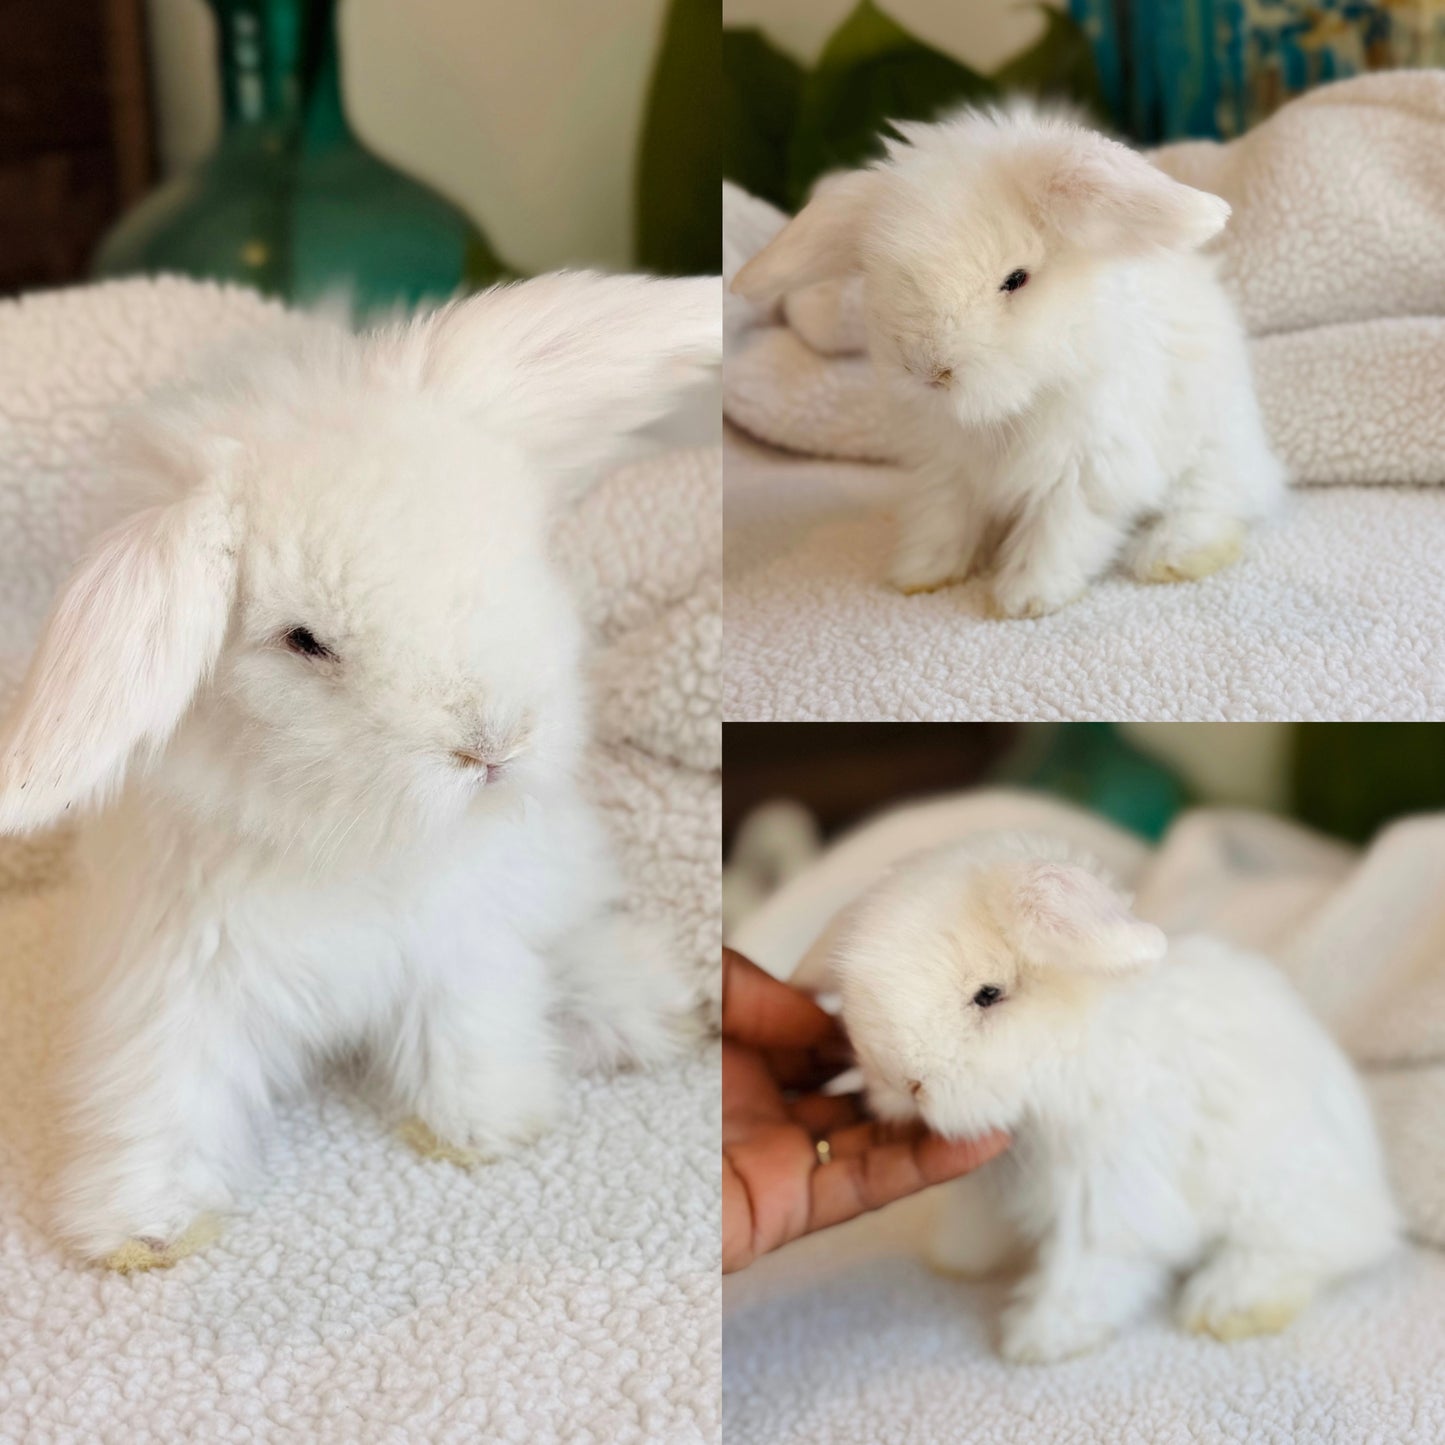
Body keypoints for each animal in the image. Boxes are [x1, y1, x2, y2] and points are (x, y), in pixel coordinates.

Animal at [0, 270, 721, 1269]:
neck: (346, 836)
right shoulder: (175, 978)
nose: (493, 746)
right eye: (305, 641)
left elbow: (471, 1028)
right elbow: (164, 1090)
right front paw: (141, 1229)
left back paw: (646, 1005)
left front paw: (483, 1126)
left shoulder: (463, 943)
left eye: (514, 556)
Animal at [732, 102, 1285, 618]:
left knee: (1215, 507)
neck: (1011, 407)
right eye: (884, 276)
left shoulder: (1088, 470)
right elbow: (942, 520)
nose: (928, 371)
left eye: (1016, 279)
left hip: (1211, 459)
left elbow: (1060, 533)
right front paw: (920, 574)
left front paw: (1026, 598)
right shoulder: (946, 471)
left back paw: (1171, 557)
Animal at [831, 833, 1398, 1364]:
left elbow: (1084, 1275)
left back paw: (1226, 1307)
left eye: (988, 995)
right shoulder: (992, 1191)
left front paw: (1038, 1341)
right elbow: (978, 1226)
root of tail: (1375, 1187)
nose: (903, 1082)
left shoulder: (1105, 1202)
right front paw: (956, 1259)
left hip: (1279, 1196)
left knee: (1314, 1249)